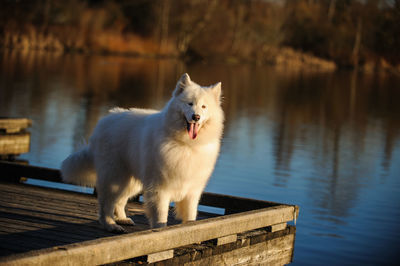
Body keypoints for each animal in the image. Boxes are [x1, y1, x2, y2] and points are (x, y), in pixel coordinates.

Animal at [60, 73, 223, 233]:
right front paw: (160, 231)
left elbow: (190, 216)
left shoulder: (192, 191)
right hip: (115, 177)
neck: (187, 145)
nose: (196, 117)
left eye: (204, 106)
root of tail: (104, 121)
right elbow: (160, 216)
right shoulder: (160, 189)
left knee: (119, 201)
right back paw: (111, 225)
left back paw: (122, 219)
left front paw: (192, 228)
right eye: (189, 104)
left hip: (130, 182)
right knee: (106, 204)